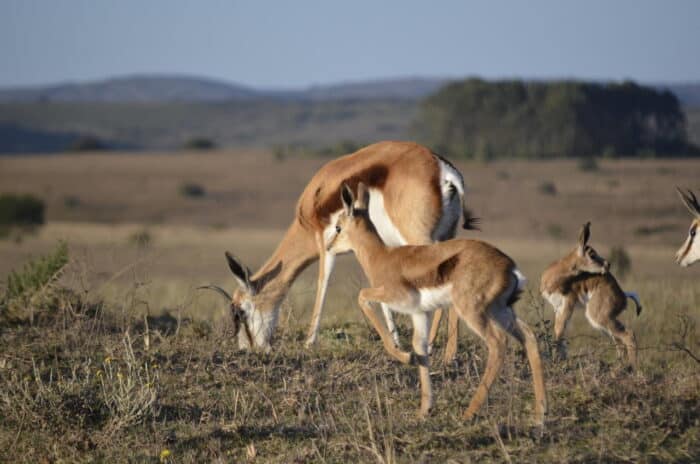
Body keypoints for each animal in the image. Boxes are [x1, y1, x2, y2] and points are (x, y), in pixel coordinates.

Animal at [202, 140, 476, 354]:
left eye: (240, 312)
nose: (248, 348)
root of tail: (443, 170)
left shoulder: (325, 245)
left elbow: (322, 285)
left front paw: (309, 342)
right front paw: (396, 342)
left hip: (420, 239)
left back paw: (432, 346)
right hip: (445, 236)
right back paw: (447, 351)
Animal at [328, 181, 548, 424]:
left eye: (338, 227)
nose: (329, 247)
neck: (381, 257)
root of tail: (509, 266)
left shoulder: (396, 296)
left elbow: (362, 296)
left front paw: (405, 357)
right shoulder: (419, 313)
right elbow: (420, 347)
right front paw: (424, 409)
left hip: (473, 312)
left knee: (497, 343)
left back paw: (469, 413)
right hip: (500, 310)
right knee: (528, 337)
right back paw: (540, 414)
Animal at [540, 223, 644, 368]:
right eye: (592, 254)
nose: (608, 264)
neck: (553, 277)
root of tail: (623, 295)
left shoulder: (568, 304)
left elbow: (560, 331)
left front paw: (557, 361)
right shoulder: (558, 307)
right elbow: (560, 332)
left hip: (598, 317)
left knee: (628, 334)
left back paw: (632, 367)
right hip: (607, 320)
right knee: (619, 340)